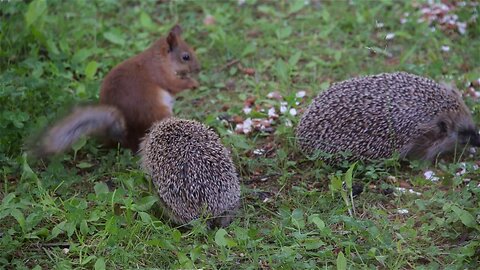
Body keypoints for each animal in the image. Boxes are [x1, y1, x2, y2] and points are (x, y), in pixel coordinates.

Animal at [36, 25, 199, 156]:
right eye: (185, 57)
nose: (198, 68)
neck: (161, 59)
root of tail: (126, 136)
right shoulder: (159, 73)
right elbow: (174, 85)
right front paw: (192, 83)